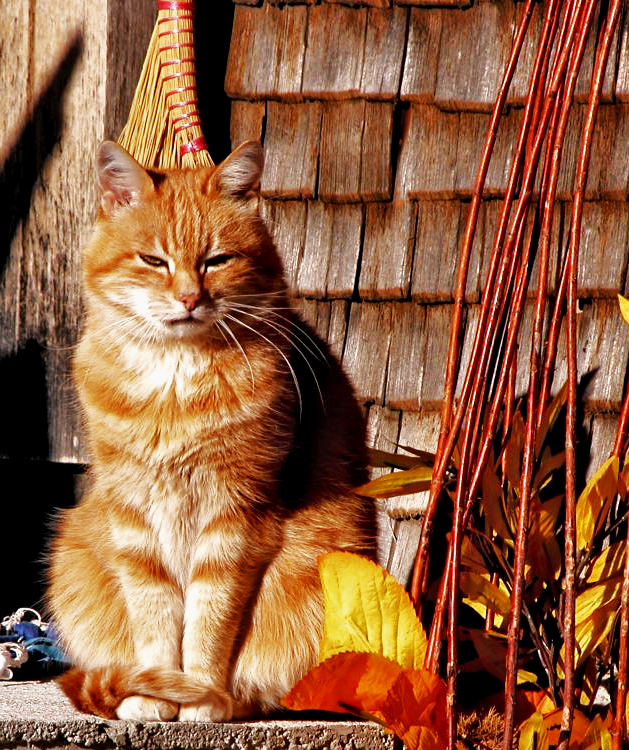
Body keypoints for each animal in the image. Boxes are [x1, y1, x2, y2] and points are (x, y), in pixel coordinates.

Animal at [49, 140, 376, 724]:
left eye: (217, 261)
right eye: (153, 261)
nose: (188, 298)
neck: (176, 383)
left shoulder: (235, 517)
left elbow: (209, 620)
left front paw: (200, 698)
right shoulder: (133, 515)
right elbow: (155, 618)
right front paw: (155, 696)